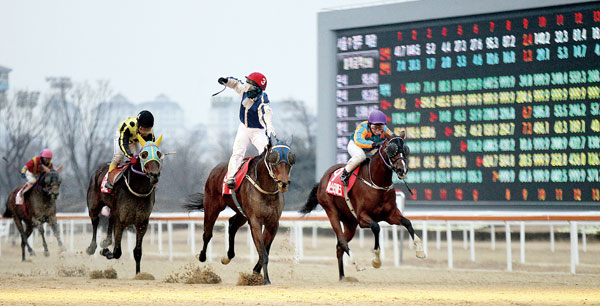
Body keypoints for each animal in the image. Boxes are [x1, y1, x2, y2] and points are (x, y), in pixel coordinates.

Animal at [85, 135, 163, 274]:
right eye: (144, 154)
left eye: (159, 154)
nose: (154, 175)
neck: (138, 188)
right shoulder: (121, 220)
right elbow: (117, 252)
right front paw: (105, 251)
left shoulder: (142, 223)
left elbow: (137, 252)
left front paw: (138, 274)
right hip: (93, 205)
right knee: (95, 222)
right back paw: (92, 247)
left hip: (113, 208)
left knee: (110, 218)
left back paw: (106, 241)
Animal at [185, 137, 292, 286]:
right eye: (273, 159)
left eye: (290, 159)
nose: (283, 183)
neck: (267, 189)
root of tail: (215, 169)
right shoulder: (255, 222)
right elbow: (263, 252)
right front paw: (266, 280)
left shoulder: (273, 223)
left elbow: (265, 250)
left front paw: (255, 273)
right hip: (212, 206)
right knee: (207, 234)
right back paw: (201, 256)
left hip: (242, 213)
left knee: (232, 224)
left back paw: (228, 256)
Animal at [298, 131, 422, 280]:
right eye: (392, 150)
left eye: (405, 149)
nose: (402, 169)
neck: (377, 182)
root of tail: (322, 179)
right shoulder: (362, 218)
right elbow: (376, 227)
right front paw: (376, 261)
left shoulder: (390, 215)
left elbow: (407, 222)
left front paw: (420, 251)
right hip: (331, 211)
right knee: (342, 241)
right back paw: (357, 264)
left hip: (350, 222)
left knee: (339, 246)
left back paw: (342, 276)